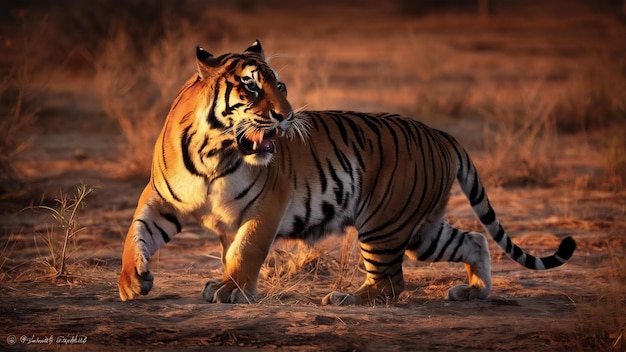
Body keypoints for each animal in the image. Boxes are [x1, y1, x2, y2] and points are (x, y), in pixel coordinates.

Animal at [118, 40, 576, 306]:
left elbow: (246, 249)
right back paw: (474, 291)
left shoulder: (267, 204)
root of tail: (442, 134)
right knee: (475, 240)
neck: (213, 148)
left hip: (384, 223)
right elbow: (136, 234)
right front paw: (132, 282)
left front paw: (231, 289)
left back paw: (345, 298)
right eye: (250, 86)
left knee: (391, 284)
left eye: (280, 86)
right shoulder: (161, 199)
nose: (286, 116)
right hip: (420, 229)